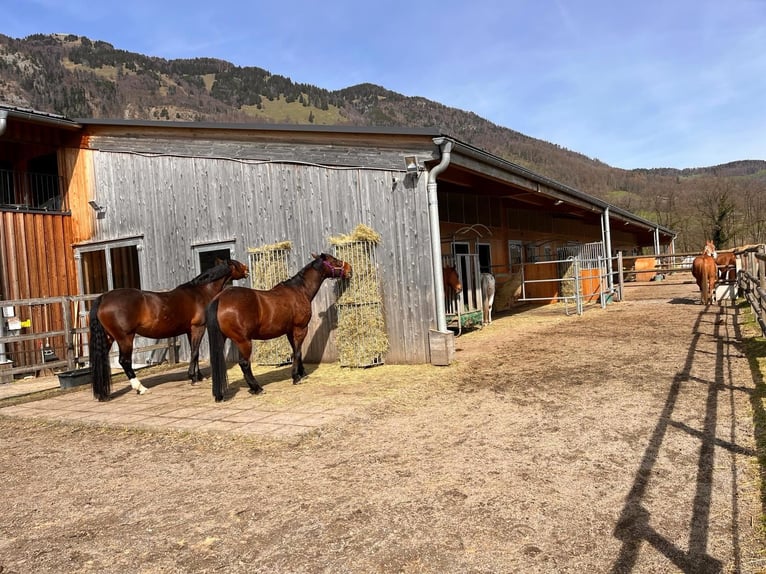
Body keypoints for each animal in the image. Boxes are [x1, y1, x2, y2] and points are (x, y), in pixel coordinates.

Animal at [89, 258, 249, 402]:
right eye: (235, 263)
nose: (246, 269)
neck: (200, 292)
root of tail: (103, 298)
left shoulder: (190, 331)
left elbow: (195, 353)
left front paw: (198, 376)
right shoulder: (198, 328)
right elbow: (195, 352)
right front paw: (192, 377)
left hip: (109, 337)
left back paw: (103, 394)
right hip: (125, 338)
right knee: (125, 361)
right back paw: (141, 388)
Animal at [210, 252, 354, 404]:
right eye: (334, 260)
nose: (349, 268)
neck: (299, 290)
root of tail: (220, 299)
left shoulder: (290, 331)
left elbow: (297, 351)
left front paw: (302, 373)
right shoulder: (300, 328)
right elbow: (297, 352)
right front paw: (296, 377)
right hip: (243, 341)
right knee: (244, 363)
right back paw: (257, 388)